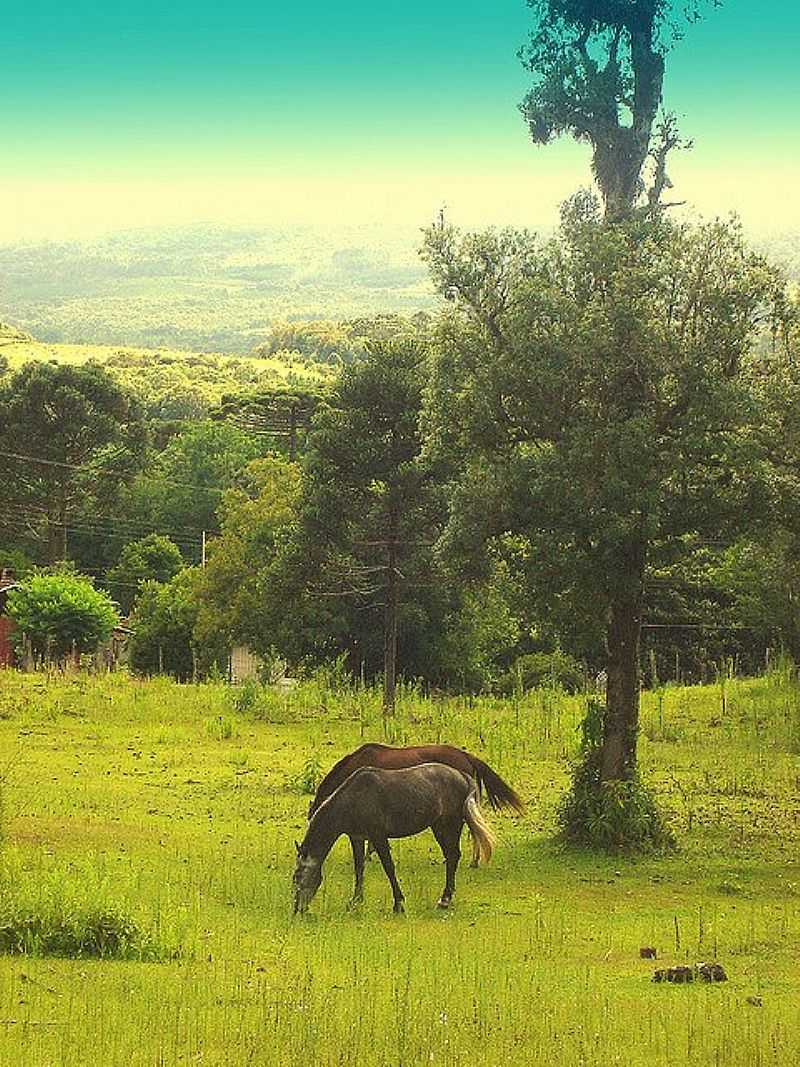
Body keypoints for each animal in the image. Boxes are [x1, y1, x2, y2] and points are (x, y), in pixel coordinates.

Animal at [294, 763, 494, 913]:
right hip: (439, 827)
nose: (297, 909)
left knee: (452, 856)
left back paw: (444, 900)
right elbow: (359, 868)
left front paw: (398, 904)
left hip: (450, 826)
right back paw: (446, 899)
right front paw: (356, 901)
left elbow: (389, 867)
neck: (354, 799)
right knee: (452, 856)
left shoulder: (378, 836)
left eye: (298, 877)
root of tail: (463, 776)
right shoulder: (357, 837)